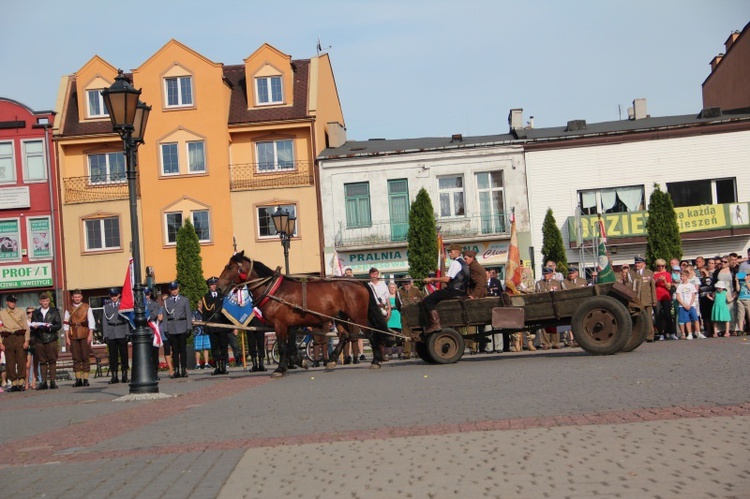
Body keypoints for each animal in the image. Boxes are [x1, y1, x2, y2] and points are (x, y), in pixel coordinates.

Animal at [216, 252, 388, 376]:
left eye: (229, 267)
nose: (218, 287)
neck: (274, 290)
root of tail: (359, 282)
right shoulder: (290, 324)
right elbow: (290, 347)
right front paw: (299, 361)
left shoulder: (280, 324)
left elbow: (283, 346)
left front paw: (280, 369)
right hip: (339, 316)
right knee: (345, 335)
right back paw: (332, 360)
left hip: (358, 317)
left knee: (371, 334)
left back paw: (375, 360)